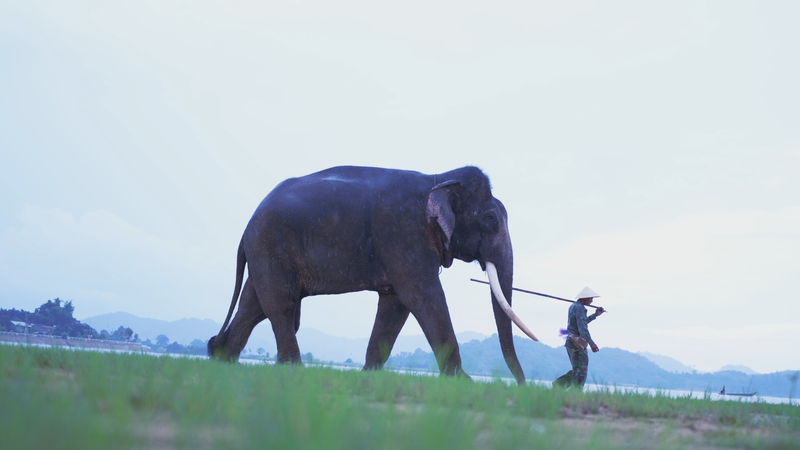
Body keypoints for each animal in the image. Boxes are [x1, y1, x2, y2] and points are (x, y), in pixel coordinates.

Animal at [207, 165, 537, 385]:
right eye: (490, 219)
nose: (521, 386)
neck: (439, 177)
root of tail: (247, 225)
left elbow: (396, 304)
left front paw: (369, 374)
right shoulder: (403, 234)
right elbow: (422, 295)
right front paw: (462, 381)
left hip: (265, 251)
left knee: (254, 304)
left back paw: (225, 359)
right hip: (271, 244)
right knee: (281, 304)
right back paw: (290, 368)